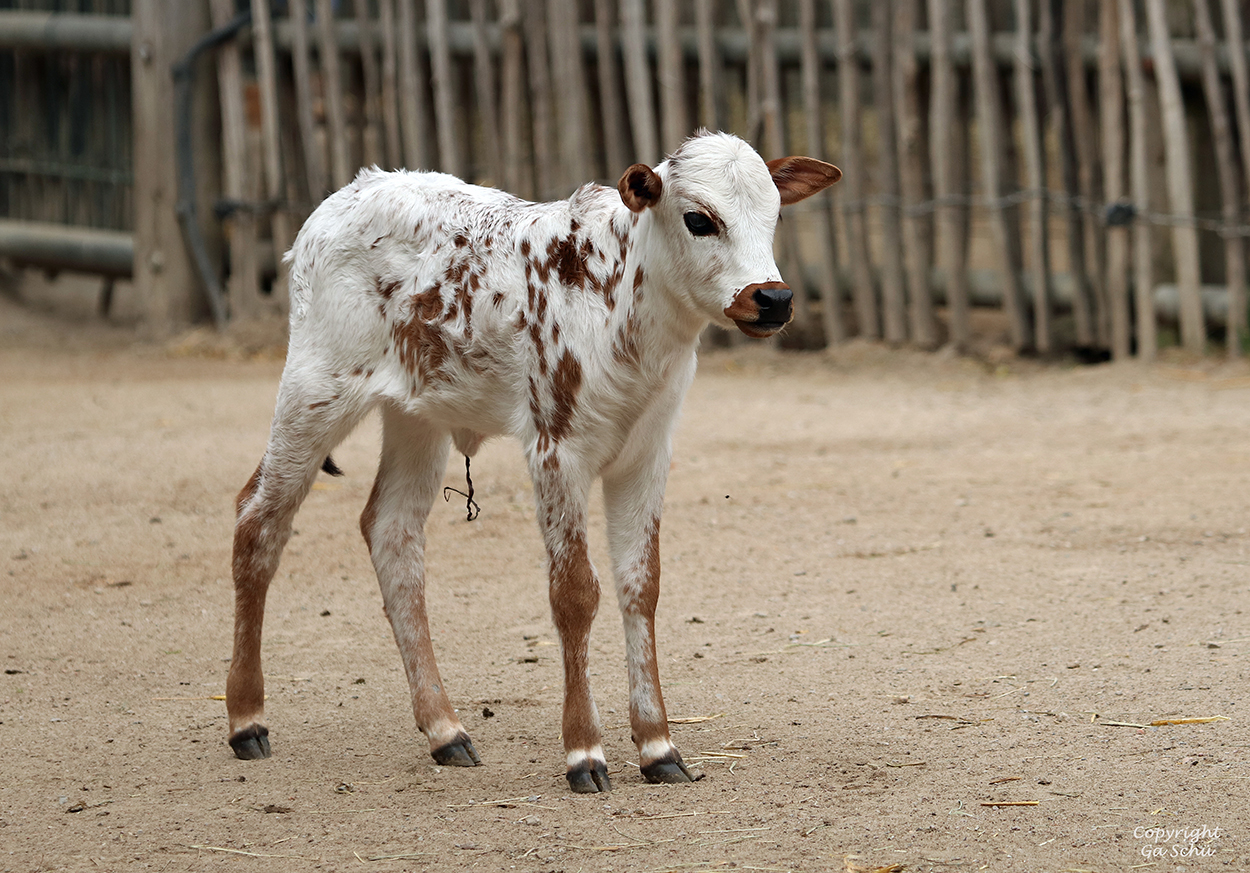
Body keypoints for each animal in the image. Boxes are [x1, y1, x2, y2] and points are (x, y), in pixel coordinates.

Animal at [230, 129, 845, 790]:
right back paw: (246, 718)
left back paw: (446, 730)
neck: (623, 309)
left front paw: (658, 745)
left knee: (392, 532)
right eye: (700, 219)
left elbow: (641, 585)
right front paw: (584, 751)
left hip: (418, 416)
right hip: (314, 390)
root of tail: (349, 192)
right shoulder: (556, 452)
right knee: (258, 522)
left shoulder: (647, 455)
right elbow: (574, 593)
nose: (773, 298)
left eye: (774, 214)